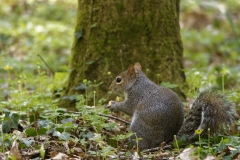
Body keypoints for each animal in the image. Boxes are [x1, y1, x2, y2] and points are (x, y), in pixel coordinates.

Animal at [108, 62, 239, 149]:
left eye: (118, 79)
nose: (110, 88)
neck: (136, 83)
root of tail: (169, 139)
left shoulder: (135, 97)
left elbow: (127, 108)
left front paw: (113, 105)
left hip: (141, 124)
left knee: (143, 143)